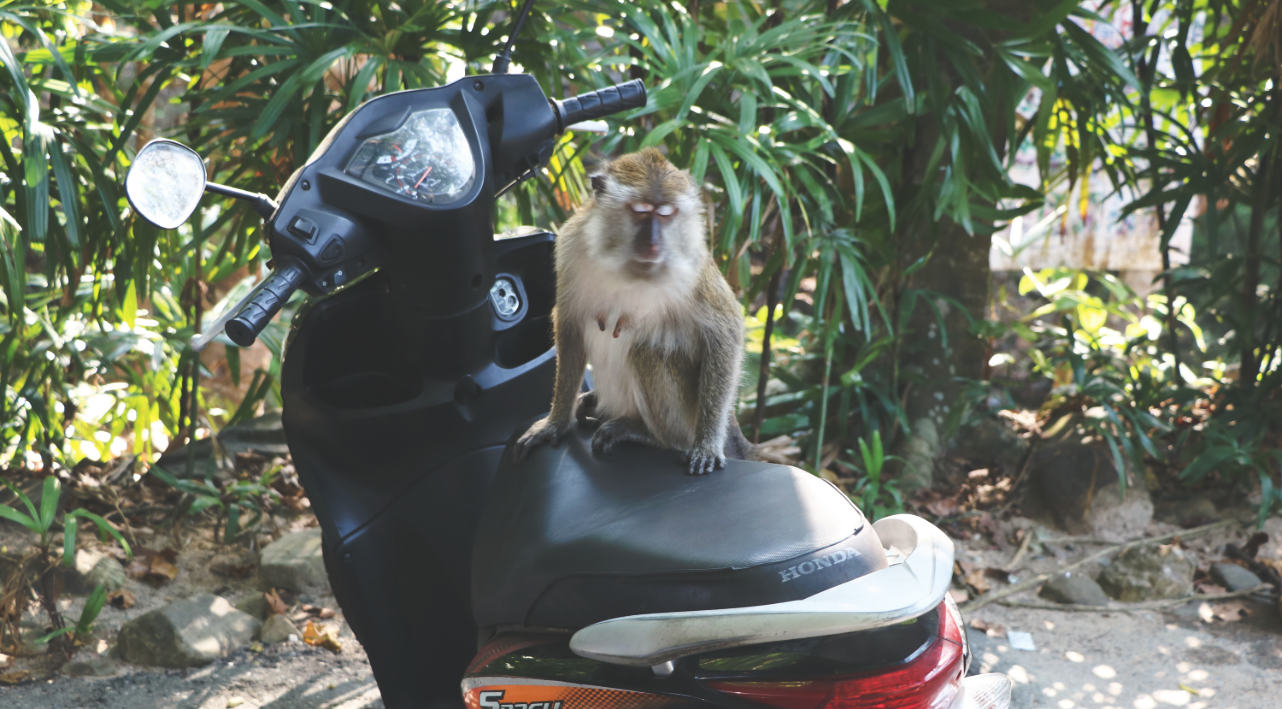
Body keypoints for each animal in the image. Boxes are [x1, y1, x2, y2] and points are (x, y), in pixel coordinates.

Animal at [514, 148, 751, 475]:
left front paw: (707, 445)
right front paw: (555, 423)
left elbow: (725, 331)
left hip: (686, 417)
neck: (622, 263)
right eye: (640, 211)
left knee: (646, 352)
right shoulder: (570, 246)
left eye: (665, 214)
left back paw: (646, 434)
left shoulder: (692, 262)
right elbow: (569, 322)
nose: (653, 243)